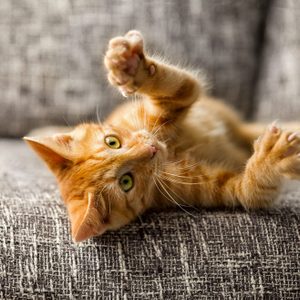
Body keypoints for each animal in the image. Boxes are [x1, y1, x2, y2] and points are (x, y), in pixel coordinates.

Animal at [24, 30, 300, 241]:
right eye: (127, 182)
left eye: (112, 141)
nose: (151, 149)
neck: (172, 151)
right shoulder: (222, 189)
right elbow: (253, 189)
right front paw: (272, 159)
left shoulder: (171, 101)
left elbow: (177, 85)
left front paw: (131, 67)